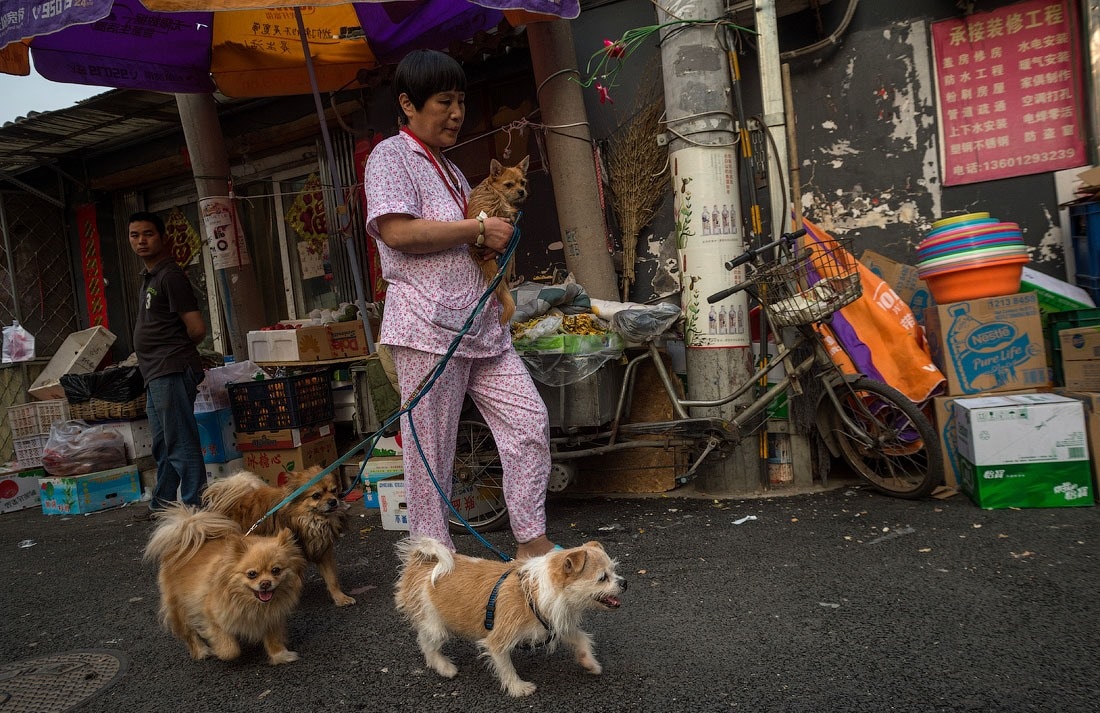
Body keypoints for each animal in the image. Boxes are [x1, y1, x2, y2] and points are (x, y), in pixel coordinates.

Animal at [143, 503, 305, 664]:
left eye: (276, 570)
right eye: (252, 574)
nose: (265, 583)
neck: (253, 604)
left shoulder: (272, 618)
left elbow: (274, 638)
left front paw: (280, 655)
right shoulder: (212, 617)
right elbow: (230, 649)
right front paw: (220, 651)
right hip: (179, 608)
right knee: (189, 634)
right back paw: (201, 651)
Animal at [199, 468, 352, 607]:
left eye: (334, 491)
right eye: (316, 495)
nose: (333, 501)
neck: (310, 522)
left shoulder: (323, 552)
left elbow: (332, 578)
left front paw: (340, 598)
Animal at [396, 541, 624, 695]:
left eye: (614, 571)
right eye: (602, 578)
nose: (625, 583)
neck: (535, 592)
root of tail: (420, 563)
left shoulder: (553, 625)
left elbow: (582, 639)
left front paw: (589, 662)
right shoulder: (497, 640)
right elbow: (506, 666)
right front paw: (518, 688)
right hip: (435, 625)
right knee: (426, 643)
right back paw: (444, 667)